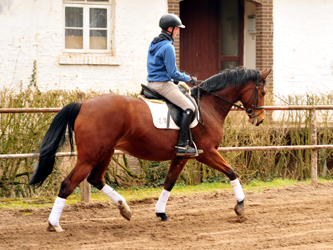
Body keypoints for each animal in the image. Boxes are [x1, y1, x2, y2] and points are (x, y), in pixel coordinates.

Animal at [29, 67, 270, 231]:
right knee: (68, 184)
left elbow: (169, 182)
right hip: (90, 156)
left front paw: (160, 213)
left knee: (96, 179)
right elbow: (231, 171)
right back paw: (54, 224)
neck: (208, 106)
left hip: (106, 152)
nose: (259, 119)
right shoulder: (207, 152)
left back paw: (124, 209)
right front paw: (240, 206)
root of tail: (84, 104)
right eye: (263, 92)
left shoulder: (182, 156)